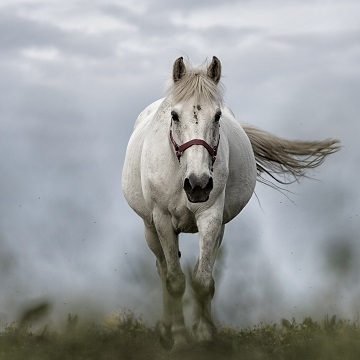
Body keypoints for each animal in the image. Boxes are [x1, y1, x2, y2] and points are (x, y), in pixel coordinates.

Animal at [121, 57, 340, 348]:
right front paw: (179, 339)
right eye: (174, 116)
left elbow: (203, 281)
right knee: (162, 269)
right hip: (150, 228)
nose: (198, 184)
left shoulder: (211, 217)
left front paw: (204, 334)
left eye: (217, 116)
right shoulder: (163, 221)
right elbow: (175, 281)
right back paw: (167, 329)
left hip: (218, 228)